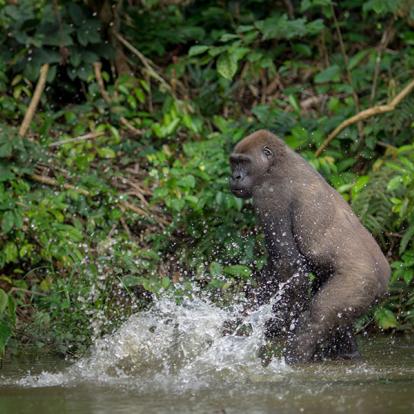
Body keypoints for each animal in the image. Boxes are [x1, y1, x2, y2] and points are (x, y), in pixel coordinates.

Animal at [228, 129, 390, 362]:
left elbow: (289, 266)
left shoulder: (269, 195)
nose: (235, 177)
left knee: (316, 319)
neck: (276, 162)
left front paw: (274, 324)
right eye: (234, 163)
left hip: (360, 281)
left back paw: (294, 359)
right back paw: (349, 354)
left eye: (243, 162)